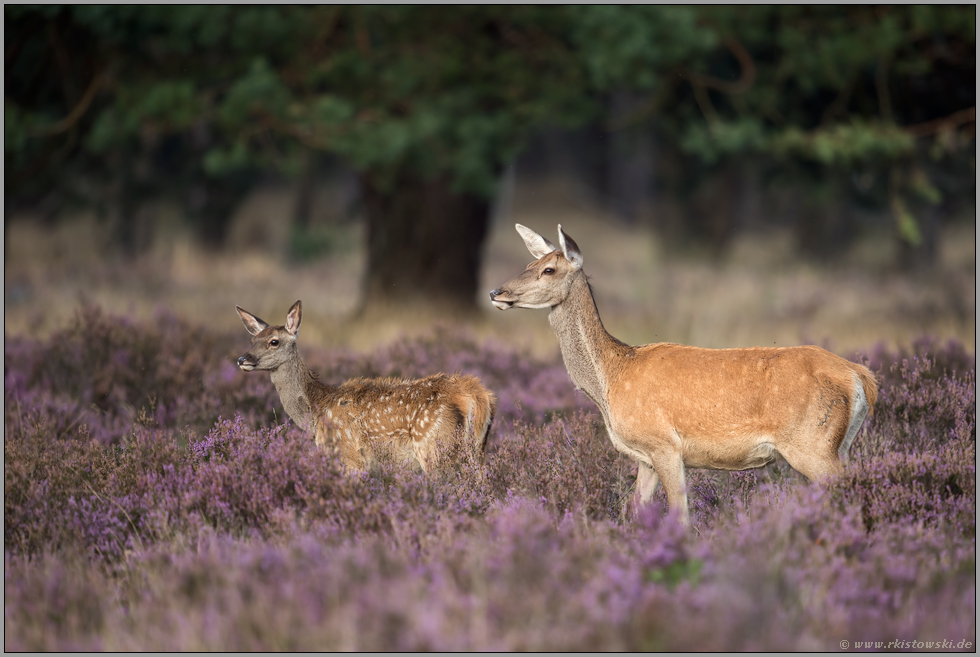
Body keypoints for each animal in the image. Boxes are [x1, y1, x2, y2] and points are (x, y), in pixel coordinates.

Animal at [238, 302, 498, 472]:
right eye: (252, 340)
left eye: (274, 341)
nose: (243, 359)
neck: (316, 411)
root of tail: (477, 396)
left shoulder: (350, 456)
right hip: (478, 448)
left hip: (432, 444)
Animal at [490, 224, 880, 524]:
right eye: (529, 262)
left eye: (549, 270)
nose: (496, 291)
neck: (610, 379)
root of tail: (861, 376)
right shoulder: (644, 456)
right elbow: (635, 510)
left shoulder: (664, 443)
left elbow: (679, 515)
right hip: (840, 444)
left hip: (811, 443)